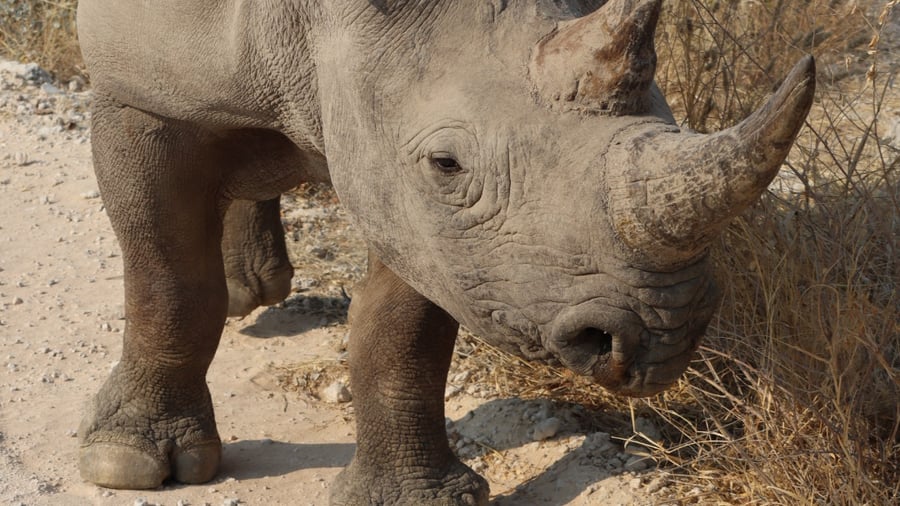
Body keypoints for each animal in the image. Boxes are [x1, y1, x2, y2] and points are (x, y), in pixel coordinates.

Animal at [75, 0, 814, 504]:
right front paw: (130, 466)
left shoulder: (434, 225)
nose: (665, 337)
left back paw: (252, 287)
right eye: (447, 163)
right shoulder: (139, 94)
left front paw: (416, 496)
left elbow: (404, 326)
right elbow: (170, 280)